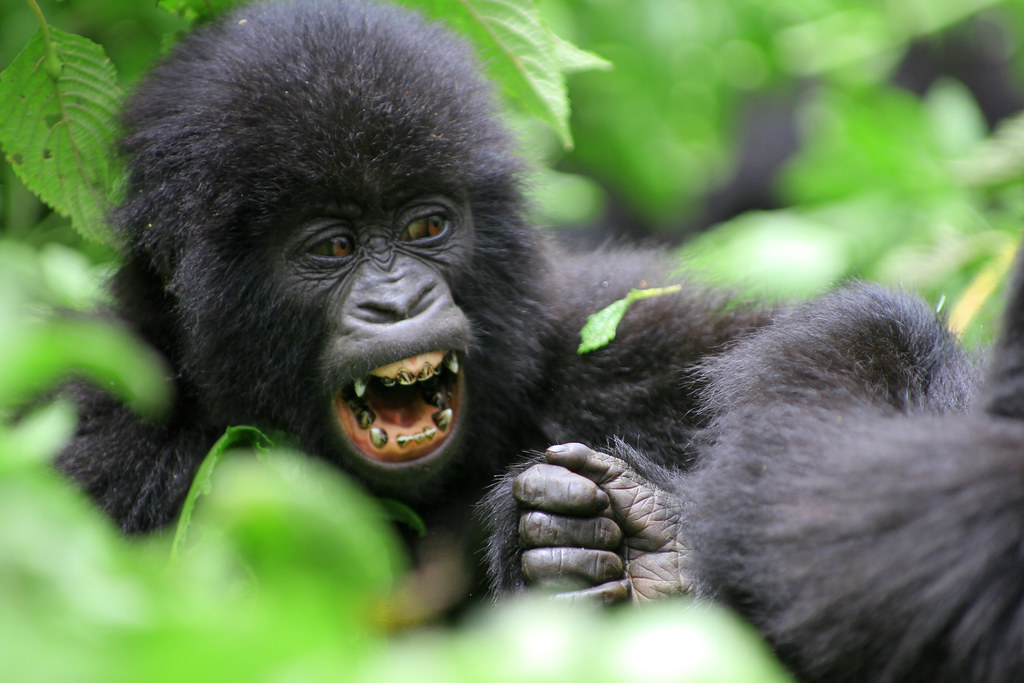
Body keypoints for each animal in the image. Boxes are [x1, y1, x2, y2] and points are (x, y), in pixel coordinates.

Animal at [54, 0, 770, 589]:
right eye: (333, 248)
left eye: (425, 227)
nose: (398, 303)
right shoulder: (98, 432)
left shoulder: (643, 339)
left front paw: (655, 545)